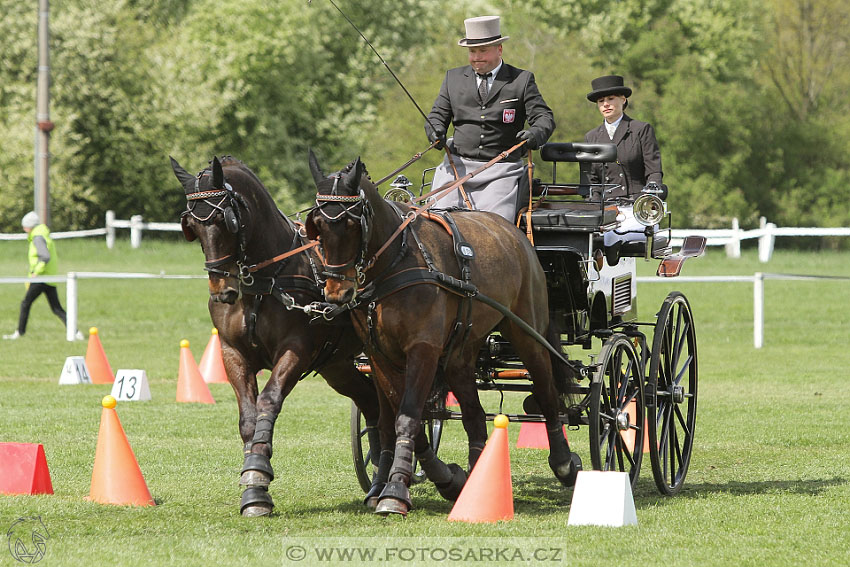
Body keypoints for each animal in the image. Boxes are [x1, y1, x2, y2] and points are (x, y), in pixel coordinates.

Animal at [171, 156, 380, 520]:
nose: (222, 290)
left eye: (225, 221)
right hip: (338, 366)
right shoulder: (232, 353)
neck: (262, 283)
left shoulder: (296, 350)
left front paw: (257, 476)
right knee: (372, 403)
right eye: (193, 227)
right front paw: (253, 491)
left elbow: (268, 401)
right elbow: (248, 418)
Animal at [304, 153, 584, 516]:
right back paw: (475, 479)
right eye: (317, 227)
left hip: (528, 334)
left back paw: (563, 464)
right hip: (461, 354)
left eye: (353, 225)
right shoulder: (380, 357)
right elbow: (393, 419)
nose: (337, 293)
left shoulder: (422, 350)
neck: (394, 265)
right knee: (474, 415)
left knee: (548, 393)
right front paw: (435, 478)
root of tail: (517, 234)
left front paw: (395, 490)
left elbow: (407, 417)